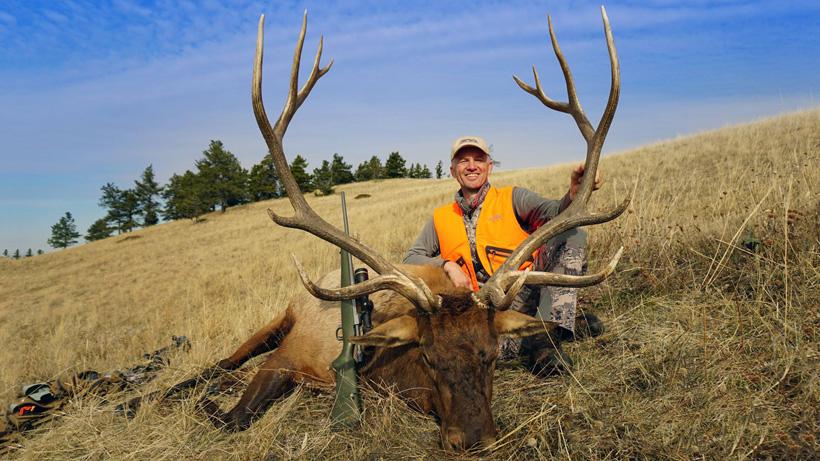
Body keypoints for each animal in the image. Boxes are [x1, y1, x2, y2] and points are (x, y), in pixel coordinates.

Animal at [124, 7, 629, 452]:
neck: (374, 368)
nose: (473, 439)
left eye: (489, 354)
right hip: (278, 317)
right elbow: (234, 417)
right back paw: (141, 399)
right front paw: (203, 406)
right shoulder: (290, 354)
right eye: (428, 355)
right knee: (221, 364)